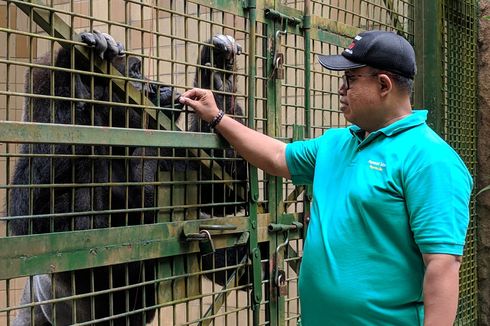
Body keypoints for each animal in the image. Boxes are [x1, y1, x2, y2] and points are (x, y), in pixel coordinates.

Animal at [10, 31, 249, 326]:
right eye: (136, 71)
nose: (159, 87)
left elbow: (219, 191)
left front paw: (217, 78)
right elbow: (40, 223)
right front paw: (78, 71)